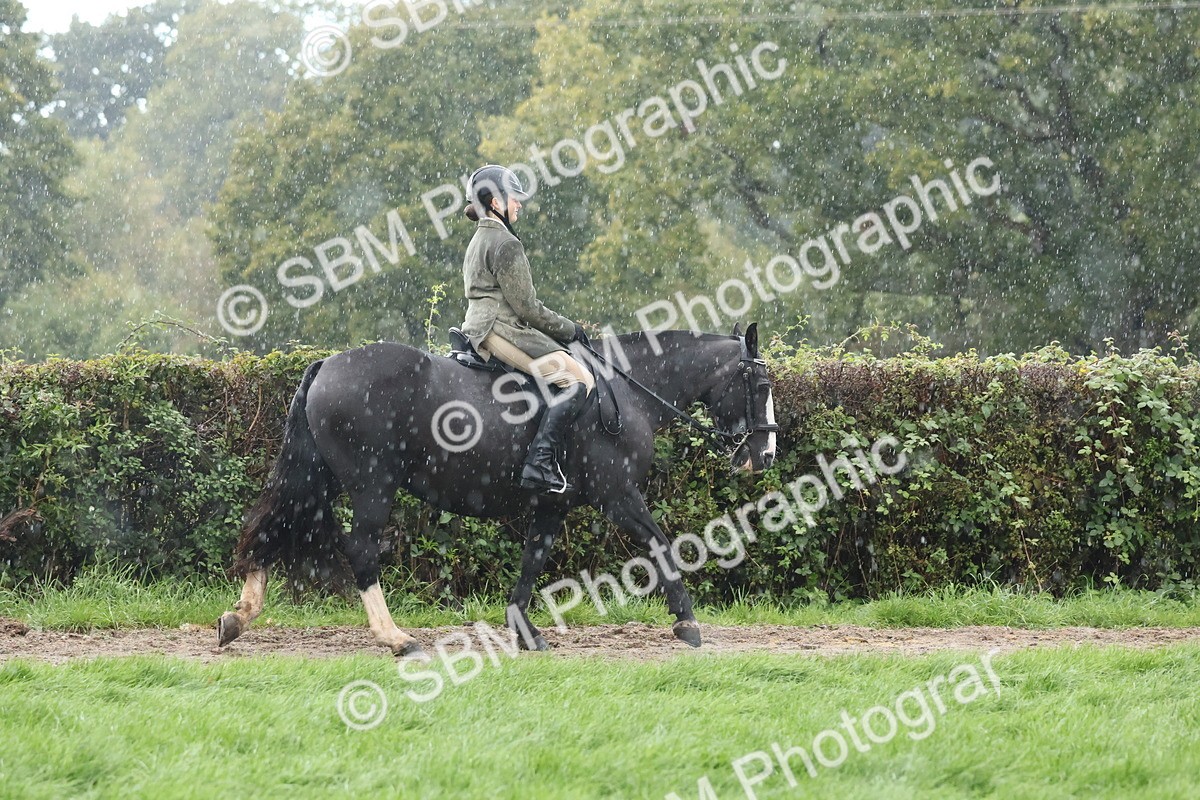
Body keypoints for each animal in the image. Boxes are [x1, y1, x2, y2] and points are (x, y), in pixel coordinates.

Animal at [217, 324, 778, 656]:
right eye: (762, 386)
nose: (765, 455)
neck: (625, 389)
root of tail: (327, 365)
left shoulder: (554, 503)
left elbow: (533, 560)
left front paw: (524, 631)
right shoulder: (618, 496)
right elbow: (661, 545)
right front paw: (688, 626)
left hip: (322, 479)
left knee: (275, 529)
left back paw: (238, 618)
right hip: (371, 485)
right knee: (360, 550)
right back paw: (397, 638)